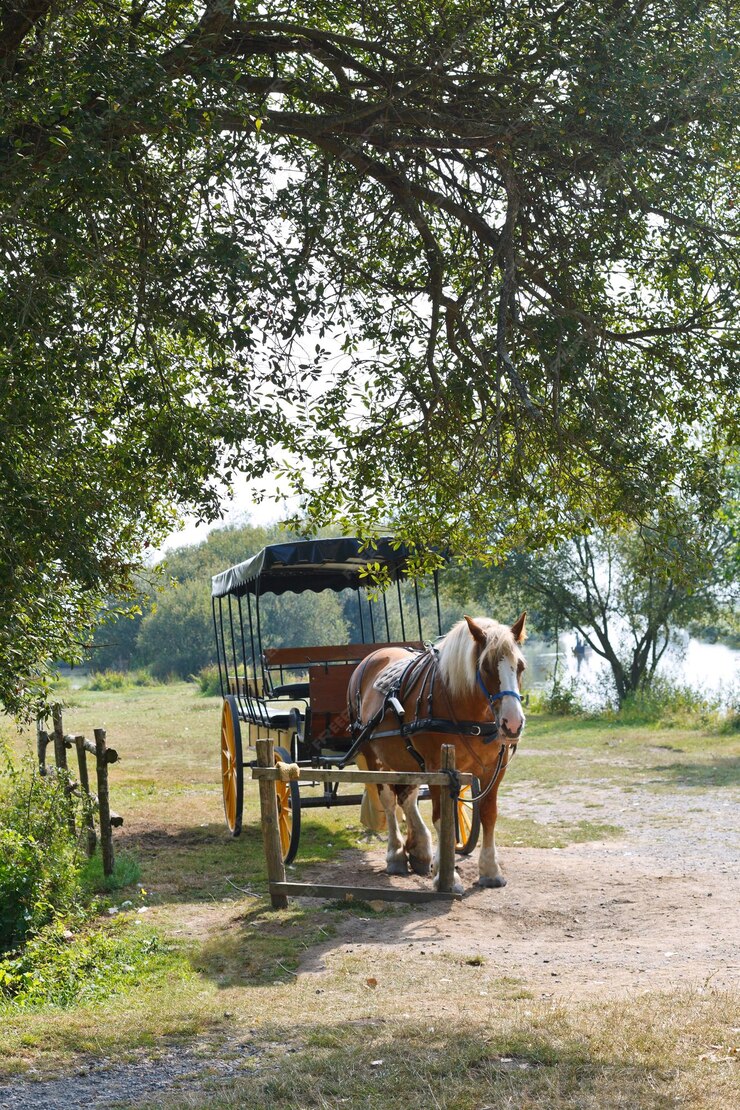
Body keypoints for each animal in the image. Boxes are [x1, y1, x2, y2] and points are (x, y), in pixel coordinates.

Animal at [348, 617, 525, 892]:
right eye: (485, 667)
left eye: (520, 667)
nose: (513, 723)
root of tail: (372, 657)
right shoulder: (437, 769)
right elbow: (442, 818)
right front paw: (446, 876)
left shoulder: (493, 770)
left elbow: (488, 815)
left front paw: (490, 871)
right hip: (373, 758)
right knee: (388, 800)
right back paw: (396, 854)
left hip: (407, 759)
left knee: (407, 798)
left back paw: (419, 850)